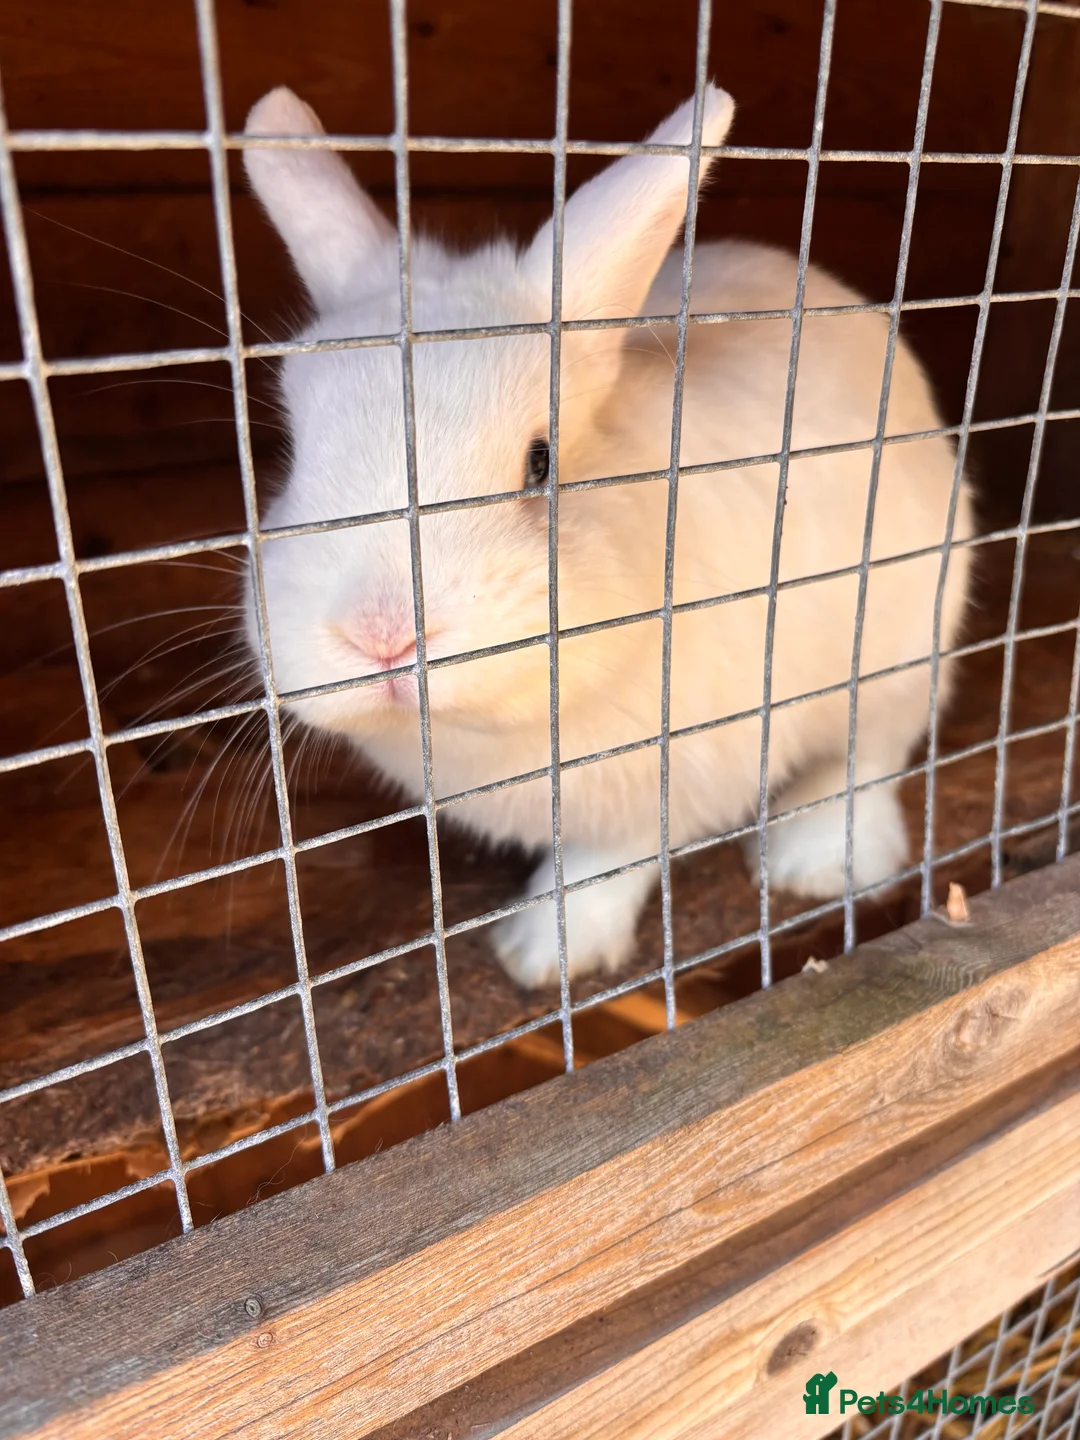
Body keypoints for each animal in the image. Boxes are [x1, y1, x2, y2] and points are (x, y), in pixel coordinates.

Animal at [242, 83, 973, 989]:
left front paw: (544, 958)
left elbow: (604, 867)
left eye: (541, 461)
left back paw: (817, 865)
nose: (381, 635)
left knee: (865, 760)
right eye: (294, 453)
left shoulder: (667, 781)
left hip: (902, 653)